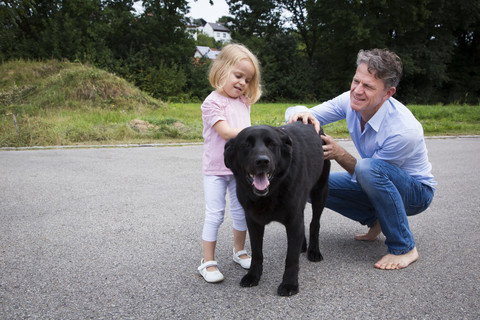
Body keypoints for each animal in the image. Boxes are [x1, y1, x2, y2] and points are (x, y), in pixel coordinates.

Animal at [224, 121, 330, 296]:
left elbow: (291, 258)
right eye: (245, 144)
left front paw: (289, 284)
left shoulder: (293, 220)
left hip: (320, 192)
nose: (262, 161)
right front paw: (253, 276)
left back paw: (314, 251)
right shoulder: (253, 221)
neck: (271, 193)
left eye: (272, 144)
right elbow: (257, 253)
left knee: (315, 223)